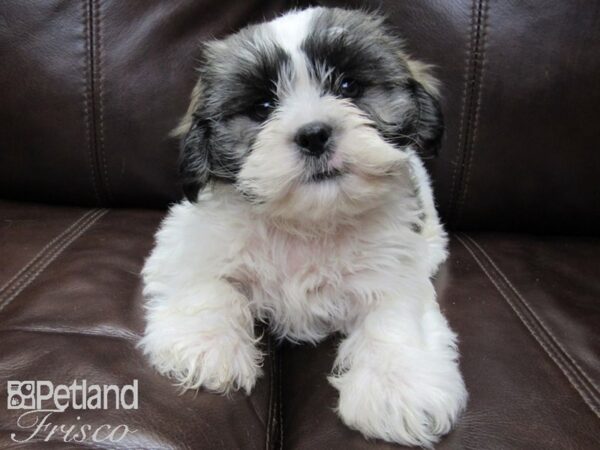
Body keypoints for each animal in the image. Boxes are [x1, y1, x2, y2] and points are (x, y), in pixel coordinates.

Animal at [141, 7, 468, 446]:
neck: (307, 221)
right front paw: (207, 345)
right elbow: (206, 283)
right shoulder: (188, 235)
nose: (314, 134)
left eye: (349, 86)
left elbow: (394, 315)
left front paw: (396, 386)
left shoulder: (396, 264)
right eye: (263, 107)